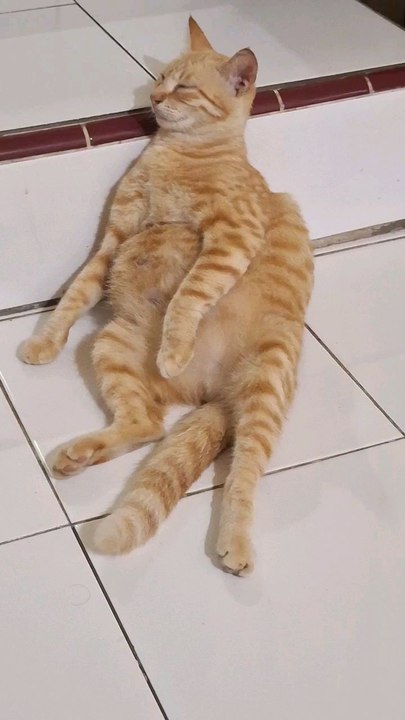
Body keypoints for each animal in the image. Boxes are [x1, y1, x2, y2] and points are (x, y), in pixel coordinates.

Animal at [20, 18, 313, 576]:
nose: (154, 98)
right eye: (160, 78)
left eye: (185, 88)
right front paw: (44, 342)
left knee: (245, 470)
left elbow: (189, 293)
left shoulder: (232, 237)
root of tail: (210, 393)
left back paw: (235, 540)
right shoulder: (115, 237)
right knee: (147, 426)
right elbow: (76, 293)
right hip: (112, 342)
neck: (178, 152)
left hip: (267, 377)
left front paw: (175, 347)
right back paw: (79, 454)